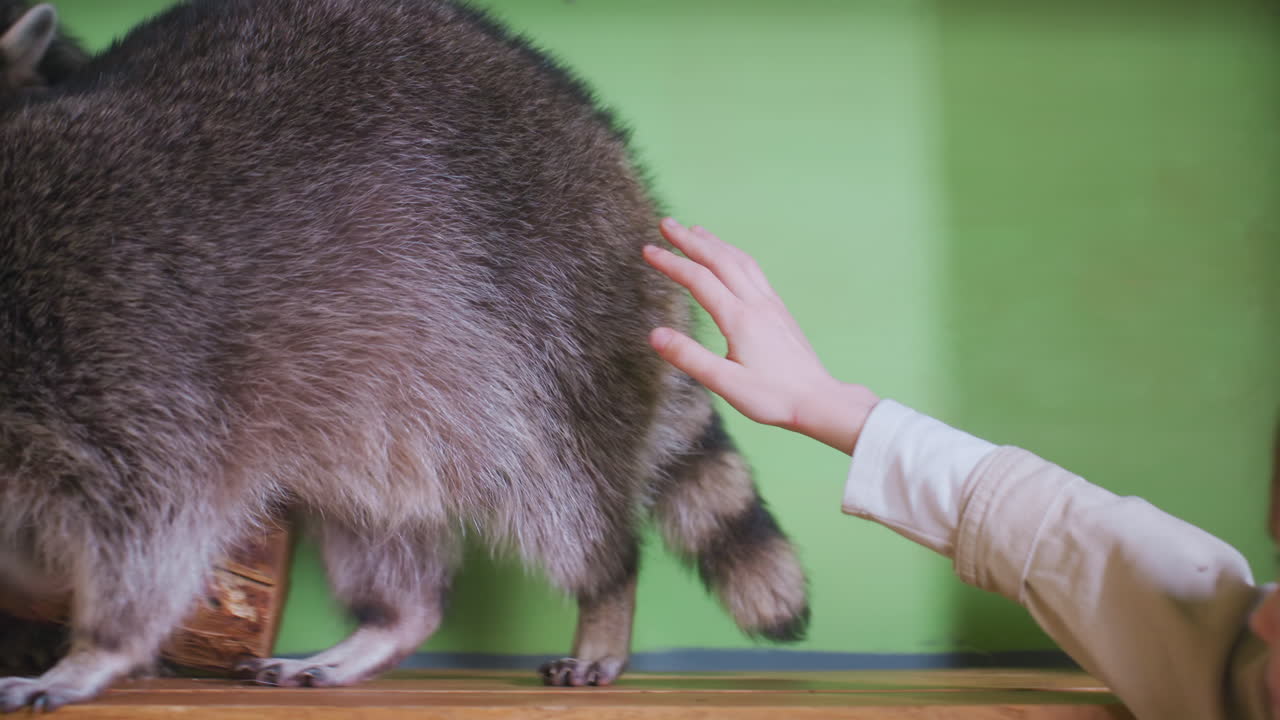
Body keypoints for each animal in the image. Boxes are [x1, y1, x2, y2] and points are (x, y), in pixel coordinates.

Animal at [0, 0, 809, 710]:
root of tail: (628, 176)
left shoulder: (123, 341)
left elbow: (154, 521)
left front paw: (97, 647)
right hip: (384, 392)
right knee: (377, 522)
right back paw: (392, 618)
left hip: (548, 339)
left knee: (567, 506)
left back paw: (606, 597)